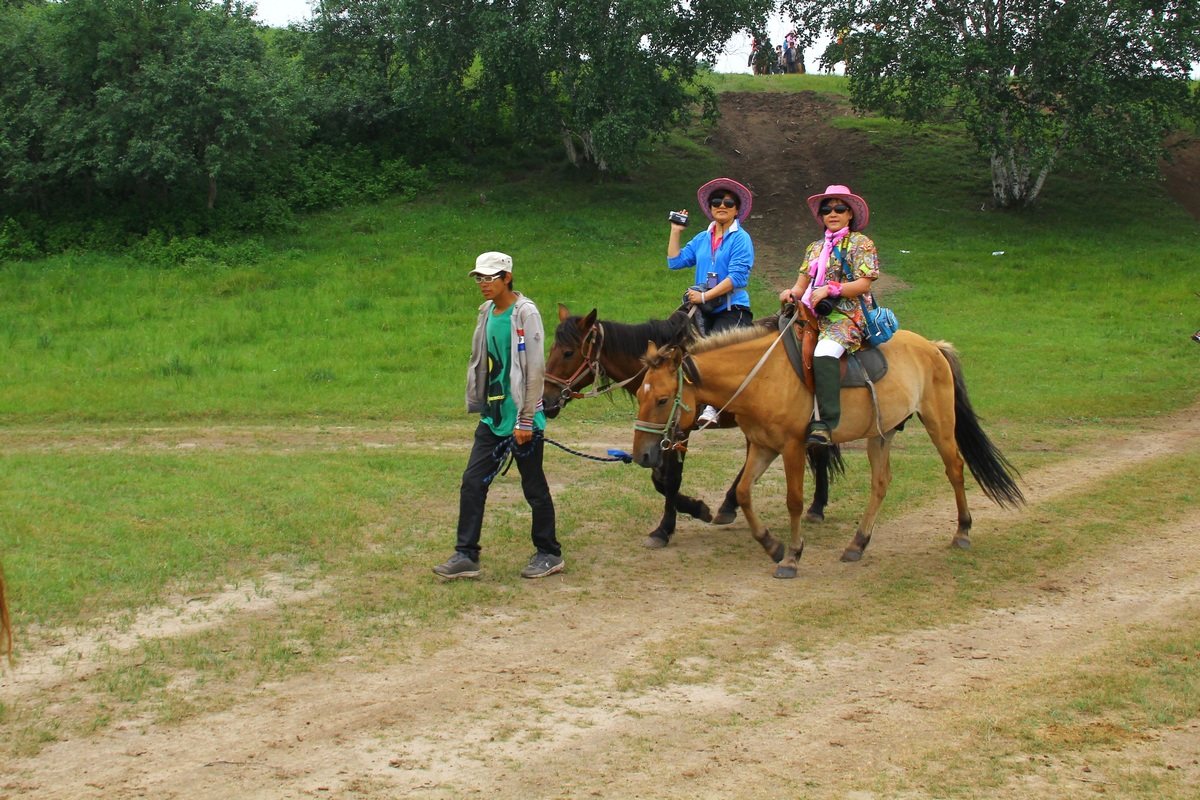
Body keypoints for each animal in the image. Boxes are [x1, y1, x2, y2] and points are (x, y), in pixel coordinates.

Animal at [547, 303, 844, 546]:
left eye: (568, 352)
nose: (546, 399)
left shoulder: (680, 430)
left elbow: (670, 479)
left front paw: (666, 528)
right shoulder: (659, 435)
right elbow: (659, 479)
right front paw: (695, 509)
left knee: (817, 449)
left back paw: (816, 507)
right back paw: (729, 505)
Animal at [628, 328, 1022, 578]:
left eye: (662, 399)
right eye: (640, 394)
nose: (643, 456)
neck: (761, 377)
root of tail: (933, 347)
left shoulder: (791, 447)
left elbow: (794, 501)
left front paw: (791, 556)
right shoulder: (763, 446)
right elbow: (742, 492)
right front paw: (771, 545)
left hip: (939, 422)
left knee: (954, 468)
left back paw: (963, 531)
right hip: (882, 434)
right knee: (881, 482)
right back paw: (857, 544)